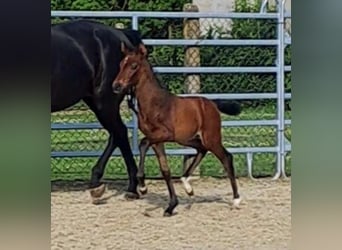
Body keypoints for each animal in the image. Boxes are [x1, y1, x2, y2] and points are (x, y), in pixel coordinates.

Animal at [50, 19, 143, 199]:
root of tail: (121, 34)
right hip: (96, 101)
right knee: (116, 134)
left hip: (104, 102)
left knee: (119, 132)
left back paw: (130, 188)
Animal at [112, 42, 240, 215]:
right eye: (120, 64)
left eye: (133, 65)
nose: (116, 86)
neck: (155, 104)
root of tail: (212, 104)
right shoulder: (157, 141)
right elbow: (165, 170)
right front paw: (171, 206)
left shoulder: (164, 134)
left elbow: (143, 143)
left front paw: (143, 187)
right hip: (187, 139)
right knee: (201, 150)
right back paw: (187, 186)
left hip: (211, 138)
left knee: (226, 157)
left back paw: (236, 200)